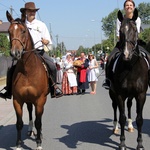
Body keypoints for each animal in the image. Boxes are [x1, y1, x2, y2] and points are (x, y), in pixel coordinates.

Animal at [6, 10, 48, 150]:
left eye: (23, 31)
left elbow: (39, 121)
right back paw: (30, 130)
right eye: (8, 31)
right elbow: (19, 123)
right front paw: (18, 144)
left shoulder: (40, 100)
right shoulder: (17, 100)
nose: (15, 53)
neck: (27, 71)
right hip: (28, 99)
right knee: (30, 111)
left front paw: (39, 143)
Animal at [109, 8, 149, 149]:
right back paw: (115, 127)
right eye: (120, 31)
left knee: (130, 105)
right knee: (114, 107)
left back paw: (131, 126)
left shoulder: (141, 94)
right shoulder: (120, 94)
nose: (126, 54)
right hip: (112, 93)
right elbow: (122, 117)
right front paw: (122, 143)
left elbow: (140, 119)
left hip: (131, 95)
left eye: (135, 30)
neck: (130, 68)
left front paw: (140, 144)